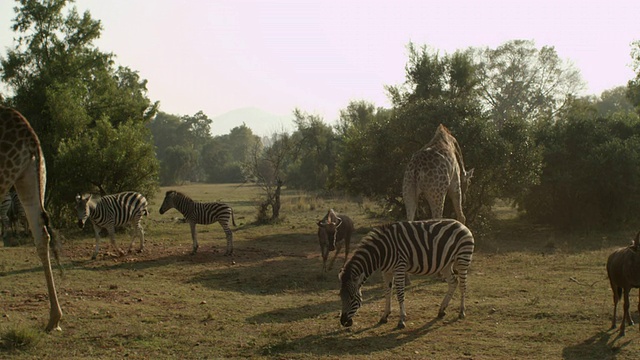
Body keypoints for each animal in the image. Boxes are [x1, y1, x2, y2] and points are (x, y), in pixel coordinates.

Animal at [340, 217, 476, 330]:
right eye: (341, 296)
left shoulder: (399, 268)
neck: (381, 252)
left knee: (463, 285)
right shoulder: (386, 271)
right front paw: (384, 316)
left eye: (352, 297)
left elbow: (400, 294)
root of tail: (461, 224)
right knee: (453, 282)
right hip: (446, 264)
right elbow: (387, 292)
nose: (343, 322)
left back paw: (461, 312)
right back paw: (442, 310)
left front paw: (401, 320)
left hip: (462, 259)